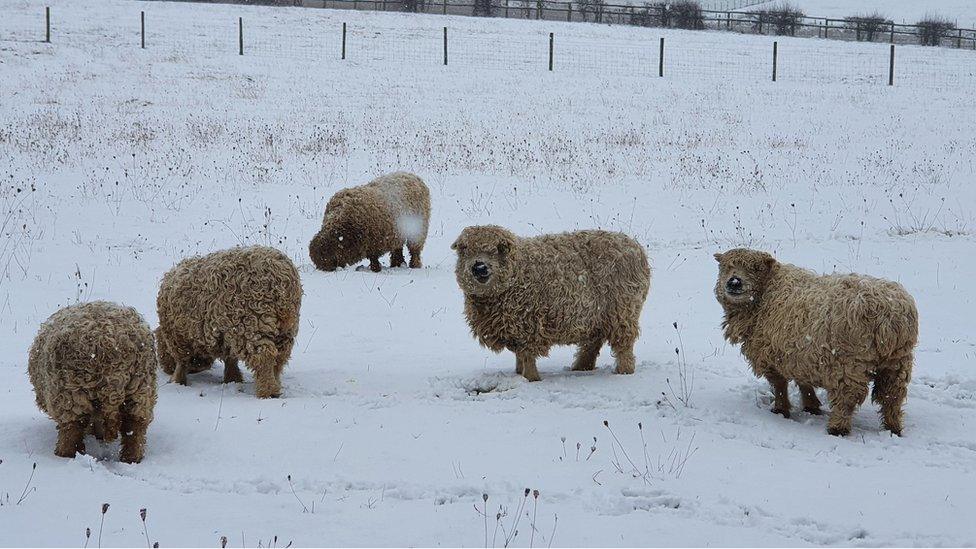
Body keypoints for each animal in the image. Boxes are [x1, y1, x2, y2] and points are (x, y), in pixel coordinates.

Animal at [28, 300, 157, 462]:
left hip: (70, 395)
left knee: (72, 429)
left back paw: (63, 455)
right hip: (140, 389)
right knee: (134, 426)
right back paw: (131, 459)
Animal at [157, 245, 302, 398]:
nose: (165, 368)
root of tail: (280, 277)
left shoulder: (178, 337)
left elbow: (181, 361)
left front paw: (176, 381)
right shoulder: (225, 335)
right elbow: (230, 359)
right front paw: (233, 379)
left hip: (252, 323)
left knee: (264, 356)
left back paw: (268, 391)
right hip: (286, 329)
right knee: (279, 359)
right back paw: (276, 385)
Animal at [454, 225, 652, 378]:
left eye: (499, 248)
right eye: (464, 249)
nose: (479, 267)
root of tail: (636, 247)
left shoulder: (528, 326)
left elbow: (527, 356)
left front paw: (530, 378)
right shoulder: (514, 327)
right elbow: (519, 356)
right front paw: (518, 373)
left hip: (622, 311)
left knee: (623, 344)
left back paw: (624, 371)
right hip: (595, 316)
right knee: (593, 342)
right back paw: (581, 367)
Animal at [712, 246, 920, 434]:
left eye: (756, 268)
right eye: (726, 267)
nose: (734, 282)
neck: (767, 292)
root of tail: (888, 316)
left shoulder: (772, 354)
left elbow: (779, 385)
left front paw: (780, 410)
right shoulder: (800, 354)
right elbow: (804, 383)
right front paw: (811, 406)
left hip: (848, 363)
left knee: (848, 397)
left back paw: (837, 428)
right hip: (897, 362)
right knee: (892, 396)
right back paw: (893, 428)